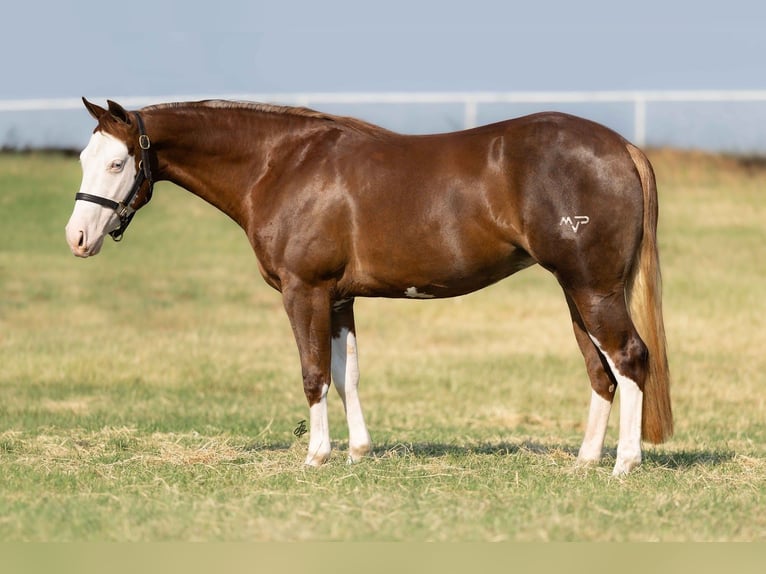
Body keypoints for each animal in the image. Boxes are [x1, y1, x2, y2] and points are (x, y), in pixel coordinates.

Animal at [65, 98, 672, 476]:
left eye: (118, 163)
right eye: (84, 158)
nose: (77, 238)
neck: (282, 165)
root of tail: (622, 147)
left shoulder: (304, 291)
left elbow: (313, 374)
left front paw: (315, 457)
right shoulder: (338, 297)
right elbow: (346, 373)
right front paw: (357, 451)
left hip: (592, 290)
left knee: (630, 357)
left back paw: (625, 464)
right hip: (577, 293)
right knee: (601, 371)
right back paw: (587, 461)